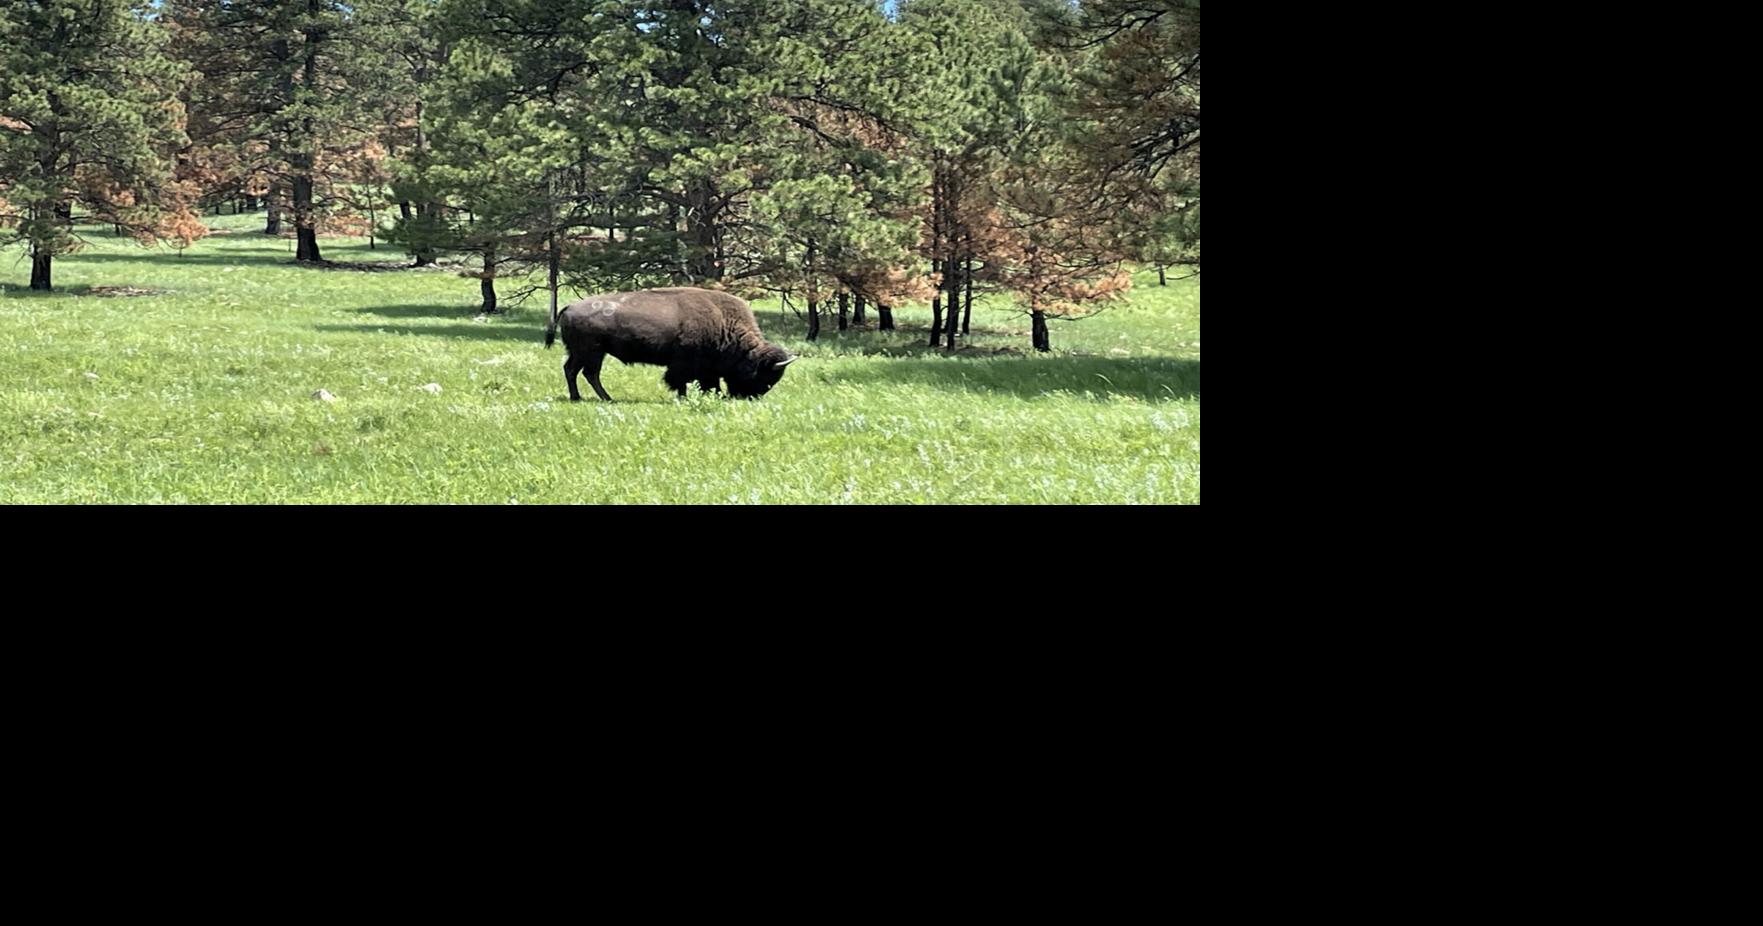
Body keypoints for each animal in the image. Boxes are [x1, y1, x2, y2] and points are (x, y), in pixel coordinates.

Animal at [544, 287, 796, 402]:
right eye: (762, 376)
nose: (747, 397)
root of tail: (570, 306)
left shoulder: (706, 369)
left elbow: (708, 382)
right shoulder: (685, 365)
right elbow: (680, 381)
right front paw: (684, 397)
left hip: (584, 353)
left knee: (574, 370)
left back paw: (585, 397)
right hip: (592, 353)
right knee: (586, 373)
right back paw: (602, 398)